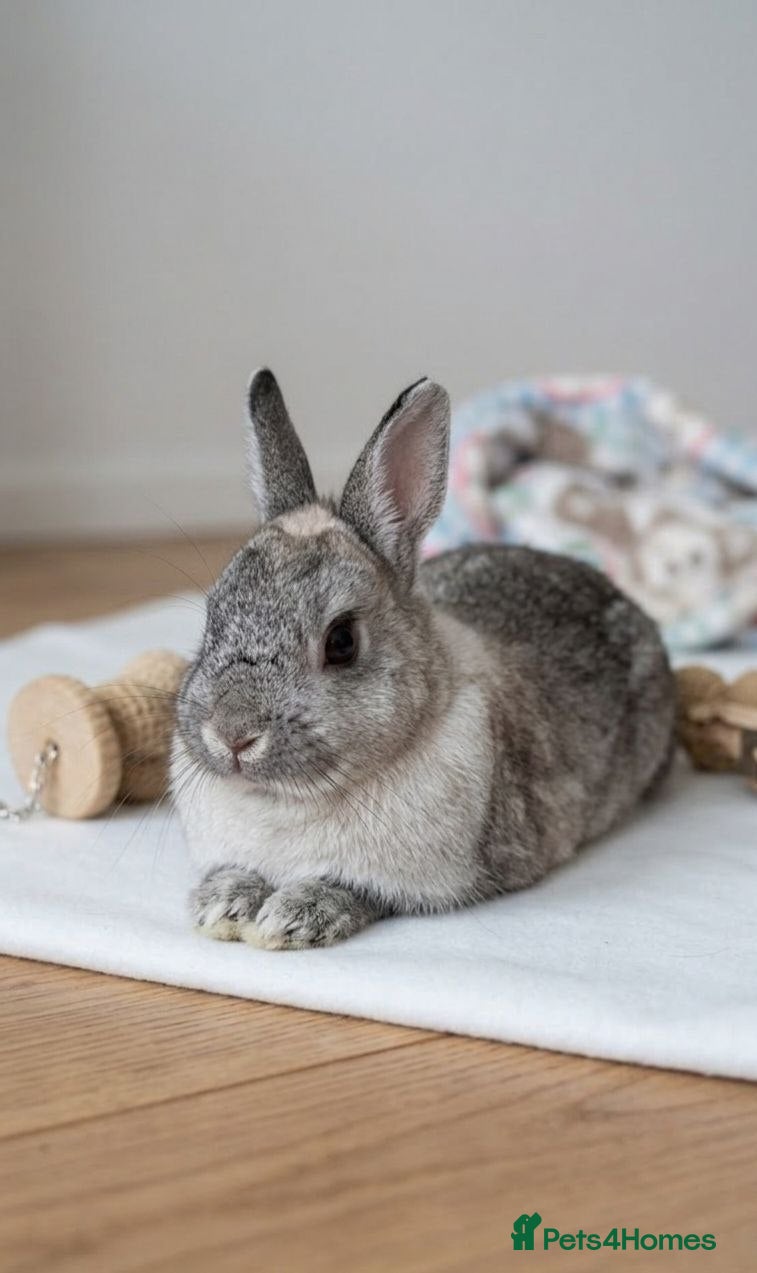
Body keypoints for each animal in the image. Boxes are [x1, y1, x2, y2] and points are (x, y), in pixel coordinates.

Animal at [171, 369, 676, 950]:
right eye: (211, 617)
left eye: (341, 641)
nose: (232, 735)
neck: (285, 800)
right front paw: (223, 905)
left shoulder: (418, 883)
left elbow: (358, 891)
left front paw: (292, 917)